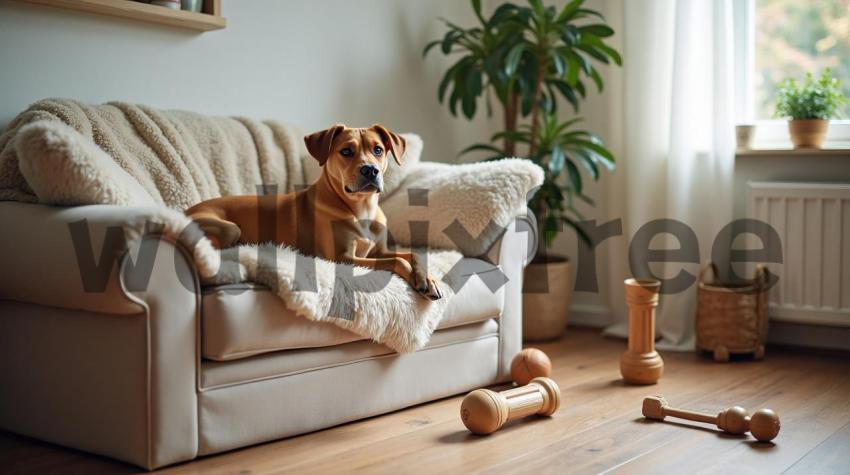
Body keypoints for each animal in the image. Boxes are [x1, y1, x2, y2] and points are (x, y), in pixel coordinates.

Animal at [182, 124, 440, 300]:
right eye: (346, 151)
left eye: (378, 150)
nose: (370, 170)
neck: (360, 208)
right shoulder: (343, 257)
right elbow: (396, 261)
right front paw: (415, 276)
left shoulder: (379, 250)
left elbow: (412, 255)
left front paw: (427, 279)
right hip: (229, 228)